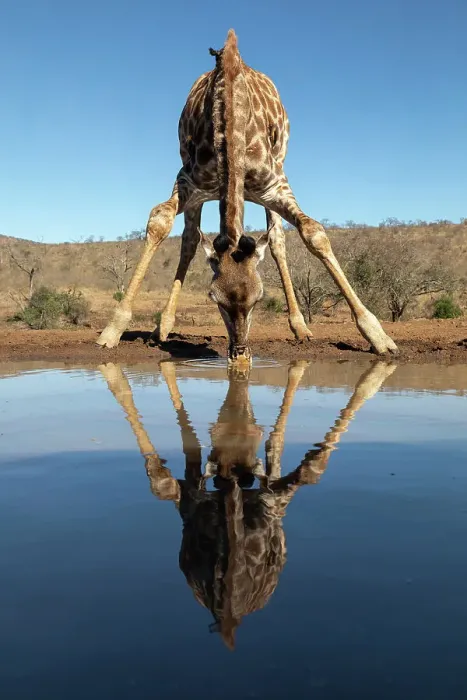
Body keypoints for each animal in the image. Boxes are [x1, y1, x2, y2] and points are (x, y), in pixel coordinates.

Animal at [97, 29, 398, 365]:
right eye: (213, 297)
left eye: (260, 297)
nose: (240, 354)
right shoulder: (188, 180)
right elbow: (160, 222)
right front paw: (112, 330)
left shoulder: (275, 185)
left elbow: (313, 233)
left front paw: (379, 336)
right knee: (189, 240)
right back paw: (162, 327)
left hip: (277, 172)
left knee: (277, 240)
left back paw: (301, 327)